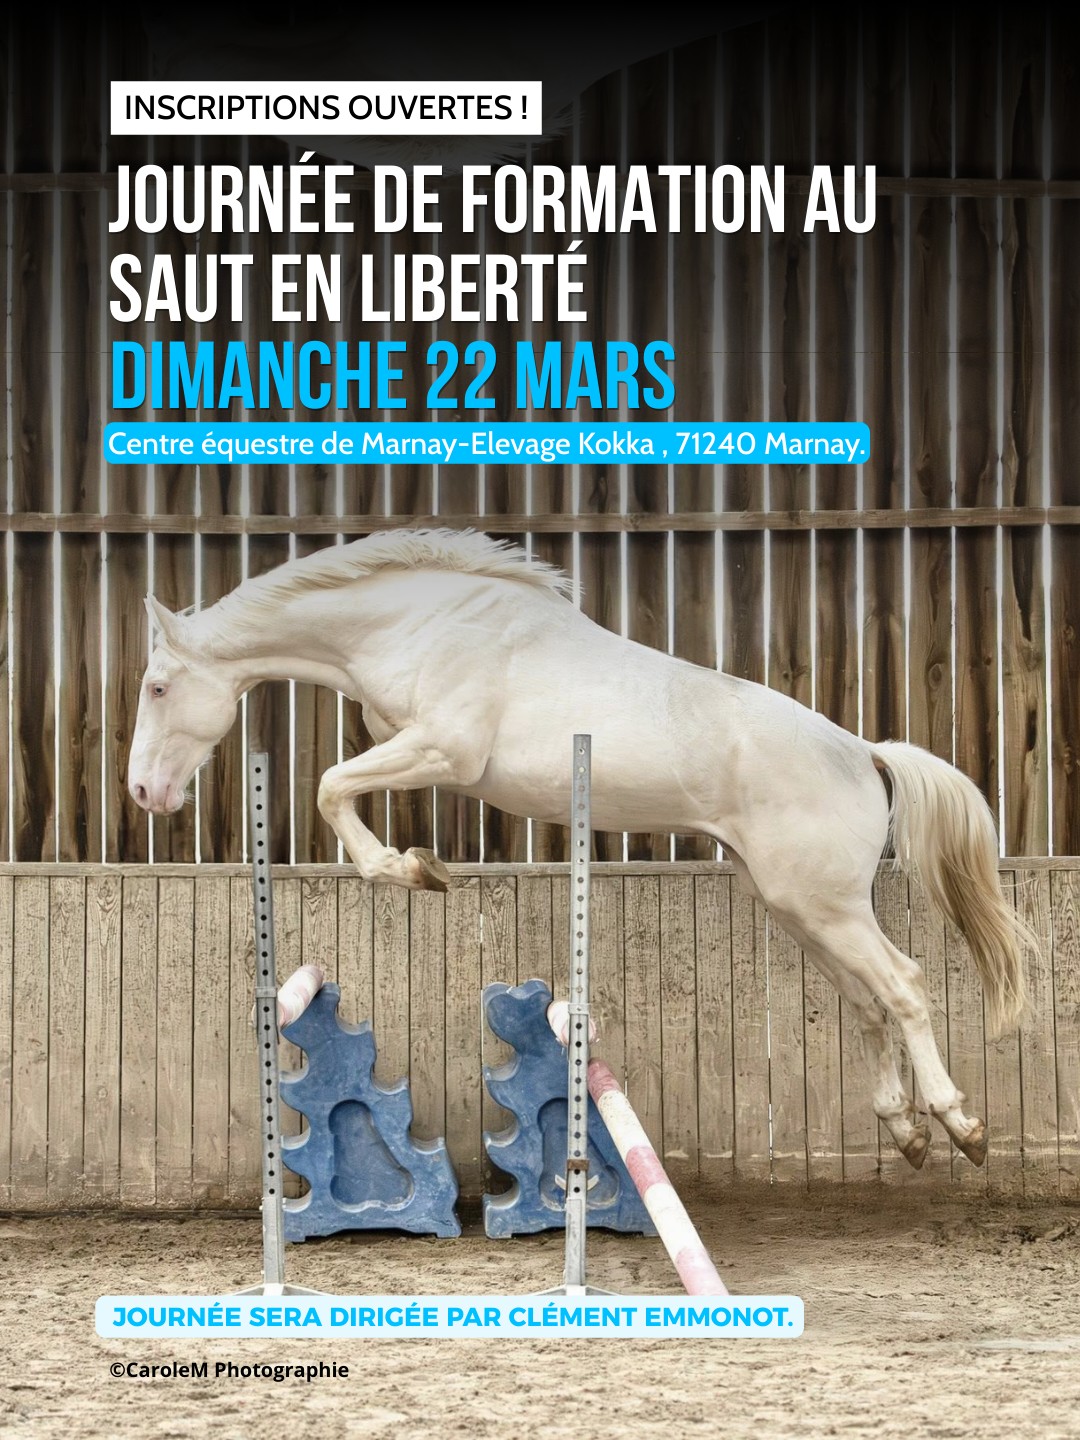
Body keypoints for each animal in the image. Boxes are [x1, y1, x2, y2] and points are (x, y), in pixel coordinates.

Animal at [127, 527, 1036, 1171]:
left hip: (828, 908)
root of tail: (866, 753)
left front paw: (416, 871)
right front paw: (418, 868)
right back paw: (905, 1133)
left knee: (905, 987)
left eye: (159, 687)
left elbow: (328, 786)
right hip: (800, 908)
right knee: (869, 1005)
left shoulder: (443, 751)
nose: (142, 793)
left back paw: (961, 1124)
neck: (425, 624)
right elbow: (337, 787)